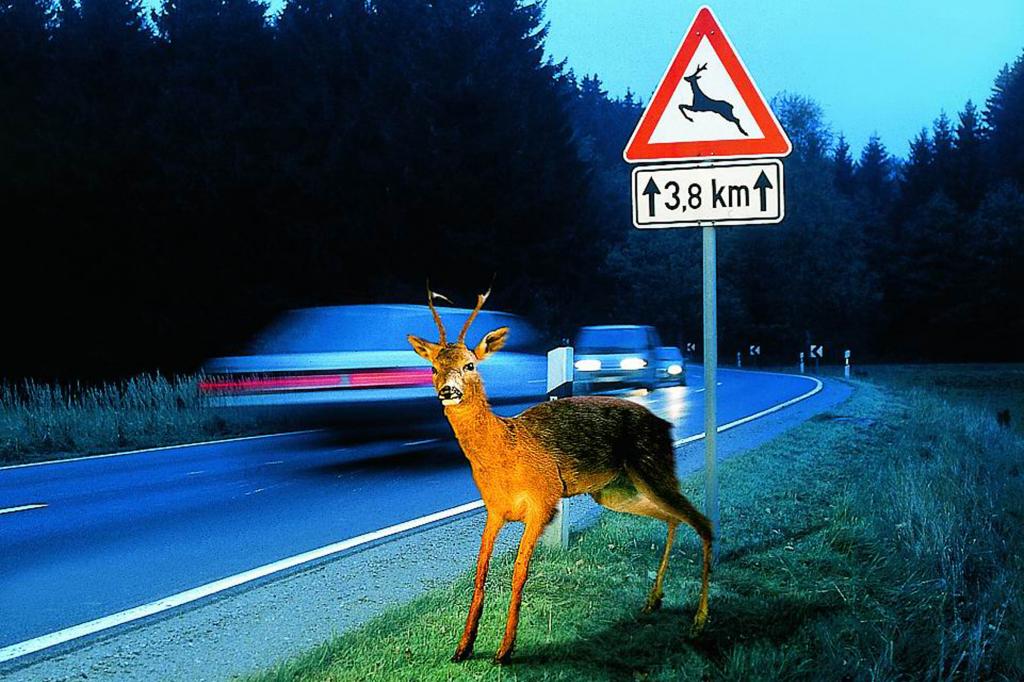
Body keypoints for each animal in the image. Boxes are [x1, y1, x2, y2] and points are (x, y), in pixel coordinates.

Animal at [407, 282, 713, 664]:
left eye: (470, 364)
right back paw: (653, 600)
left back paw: (699, 622)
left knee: (703, 523)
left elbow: (519, 572)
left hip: (653, 465)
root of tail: (665, 425)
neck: (504, 449)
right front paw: (463, 647)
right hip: (617, 491)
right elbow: (480, 572)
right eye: (433, 367)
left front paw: (505, 650)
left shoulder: (544, 500)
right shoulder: (495, 509)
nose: (448, 391)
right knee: (673, 518)